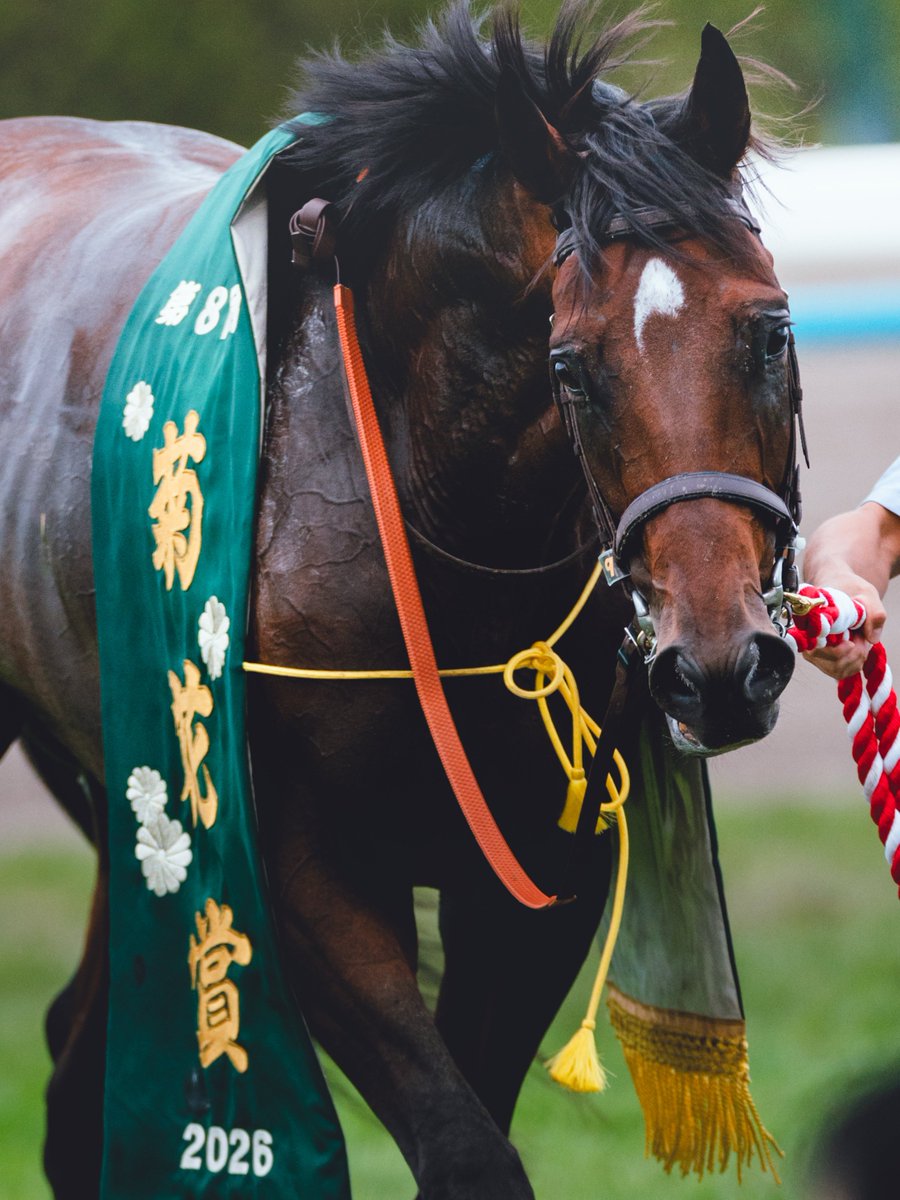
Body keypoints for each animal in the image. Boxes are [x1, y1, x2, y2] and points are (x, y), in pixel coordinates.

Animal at [0, 3, 801, 1196]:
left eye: (772, 328)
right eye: (570, 366)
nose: (718, 667)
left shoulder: (535, 878)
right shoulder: (294, 871)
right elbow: (466, 1148)